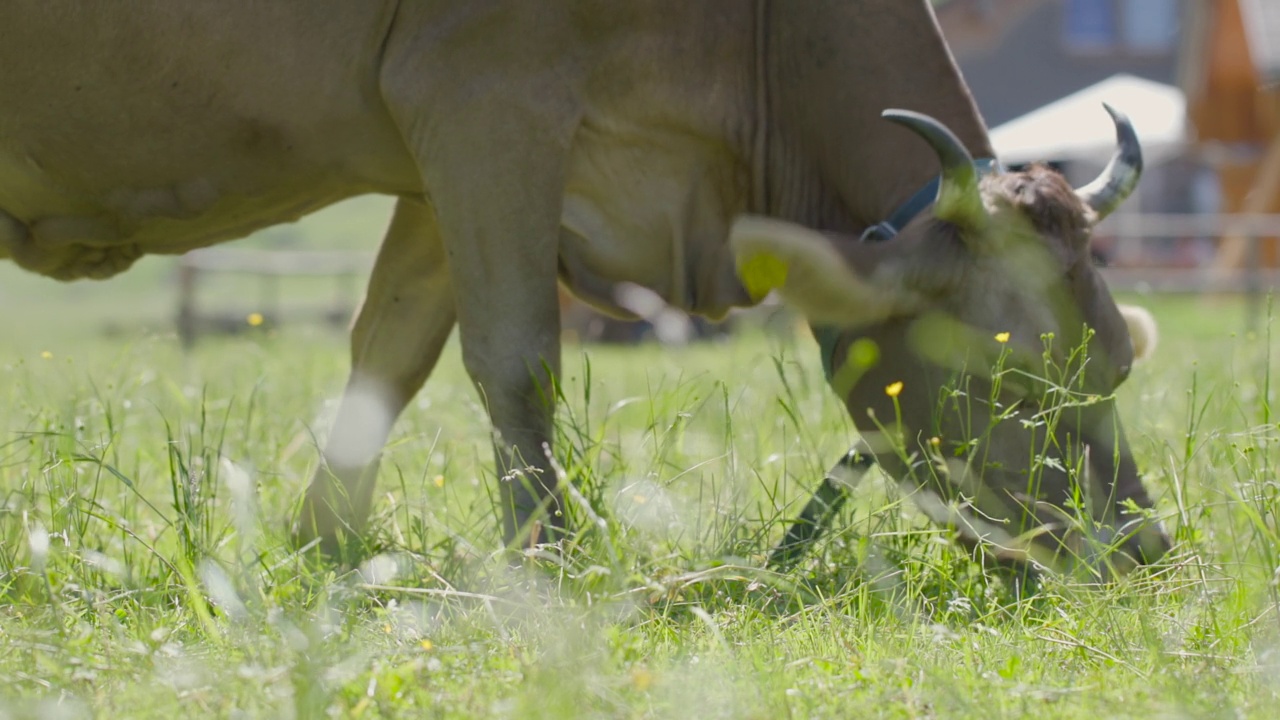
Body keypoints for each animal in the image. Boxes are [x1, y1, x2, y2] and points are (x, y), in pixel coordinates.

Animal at [0, 1, 1172, 571]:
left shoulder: (435, 160)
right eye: (1003, 379)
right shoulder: (487, 99)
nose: (1143, 549)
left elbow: (392, 349)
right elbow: (516, 359)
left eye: (1118, 365)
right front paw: (545, 554)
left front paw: (327, 542)